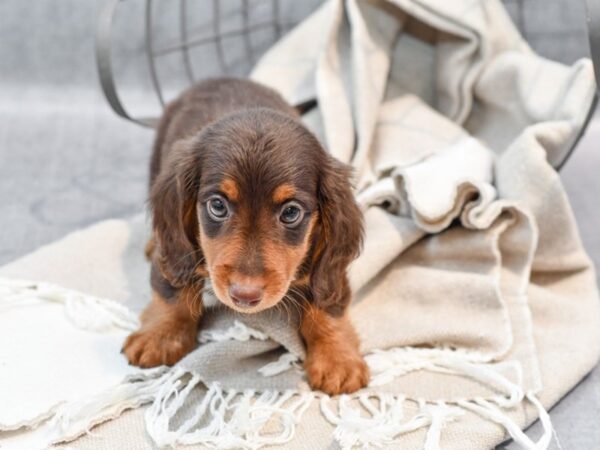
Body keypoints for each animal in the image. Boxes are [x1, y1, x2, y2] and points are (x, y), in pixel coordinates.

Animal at [122, 79, 368, 396]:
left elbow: (329, 304)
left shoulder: (328, 266)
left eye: (291, 212)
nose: (245, 295)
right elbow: (171, 290)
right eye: (217, 206)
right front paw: (160, 335)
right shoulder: (176, 253)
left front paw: (337, 358)